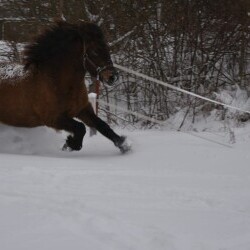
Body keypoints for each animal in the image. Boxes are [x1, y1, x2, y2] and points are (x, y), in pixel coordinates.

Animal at [0, 21, 132, 153]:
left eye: (107, 49)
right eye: (95, 51)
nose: (113, 77)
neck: (56, 82)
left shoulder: (82, 109)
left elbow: (102, 125)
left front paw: (124, 145)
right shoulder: (52, 118)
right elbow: (80, 127)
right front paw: (70, 144)